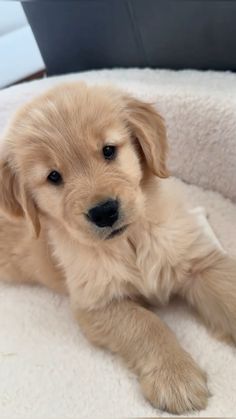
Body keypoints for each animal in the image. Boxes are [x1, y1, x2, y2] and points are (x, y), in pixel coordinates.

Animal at [0, 83, 236, 416]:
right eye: (53, 176)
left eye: (109, 150)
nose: (104, 212)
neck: (130, 242)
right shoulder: (98, 303)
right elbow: (146, 325)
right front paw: (175, 376)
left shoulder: (197, 262)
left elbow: (228, 291)